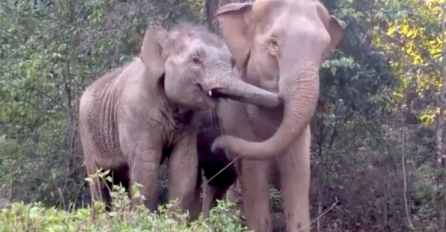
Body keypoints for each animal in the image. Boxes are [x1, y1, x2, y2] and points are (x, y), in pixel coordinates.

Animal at [76, 23, 278, 219]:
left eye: (232, 61)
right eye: (196, 60)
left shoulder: (189, 125)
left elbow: (184, 166)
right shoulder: (135, 114)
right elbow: (145, 170)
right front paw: (143, 221)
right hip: (87, 135)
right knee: (99, 180)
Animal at [197, 0, 346, 231]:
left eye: (323, 52)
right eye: (274, 45)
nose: (218, 144)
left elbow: (298, 170)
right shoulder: (234, 114)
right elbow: (253, 173)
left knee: (217, 181)